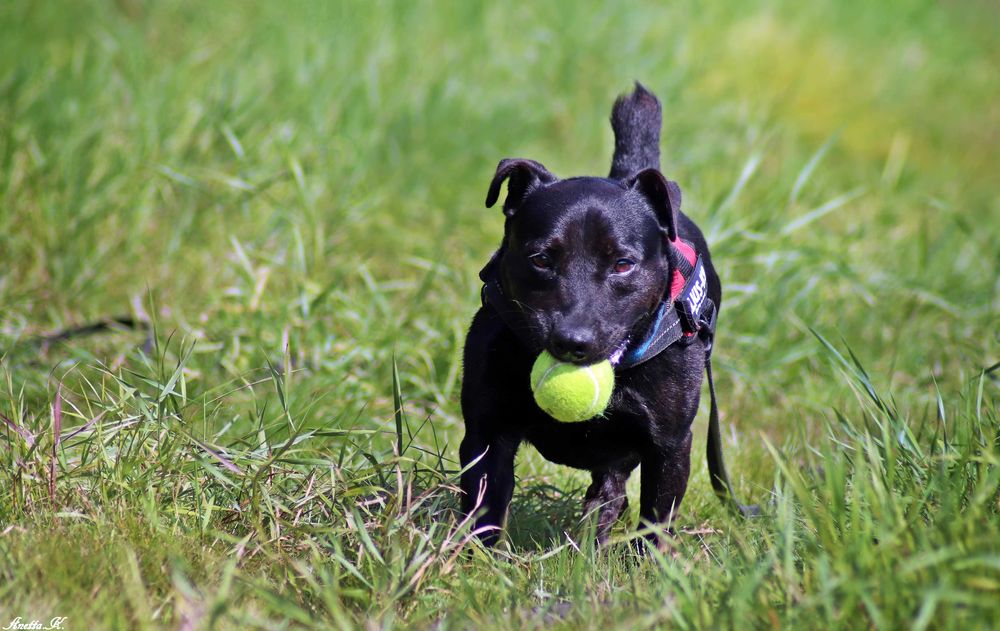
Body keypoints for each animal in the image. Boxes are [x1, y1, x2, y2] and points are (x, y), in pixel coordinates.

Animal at [460, 84, 752, 548]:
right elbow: (483, 511)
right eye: (541, 259)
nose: (572, 341)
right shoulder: (487, 432)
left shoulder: (669, 445)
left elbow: (656, 520)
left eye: (623, 264)